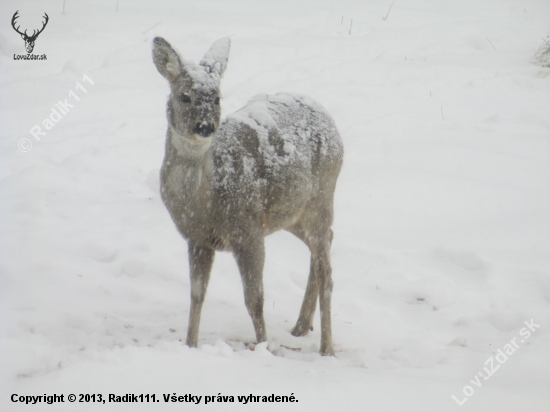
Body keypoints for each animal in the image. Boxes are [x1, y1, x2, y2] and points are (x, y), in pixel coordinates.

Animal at [151, 37, 344, 356]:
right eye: (184, 96)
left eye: (217, 98)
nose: (205, 127)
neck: (204, 204)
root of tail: (331, 121)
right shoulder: (196, 238)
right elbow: (196, 294)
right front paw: (190, 345)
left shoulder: (248, 231)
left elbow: (254, 299)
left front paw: (265, 347)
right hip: (291, 213)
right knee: (325, 243)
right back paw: (301, 326)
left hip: (322, 195)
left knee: (327, 271)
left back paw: (327, 348)